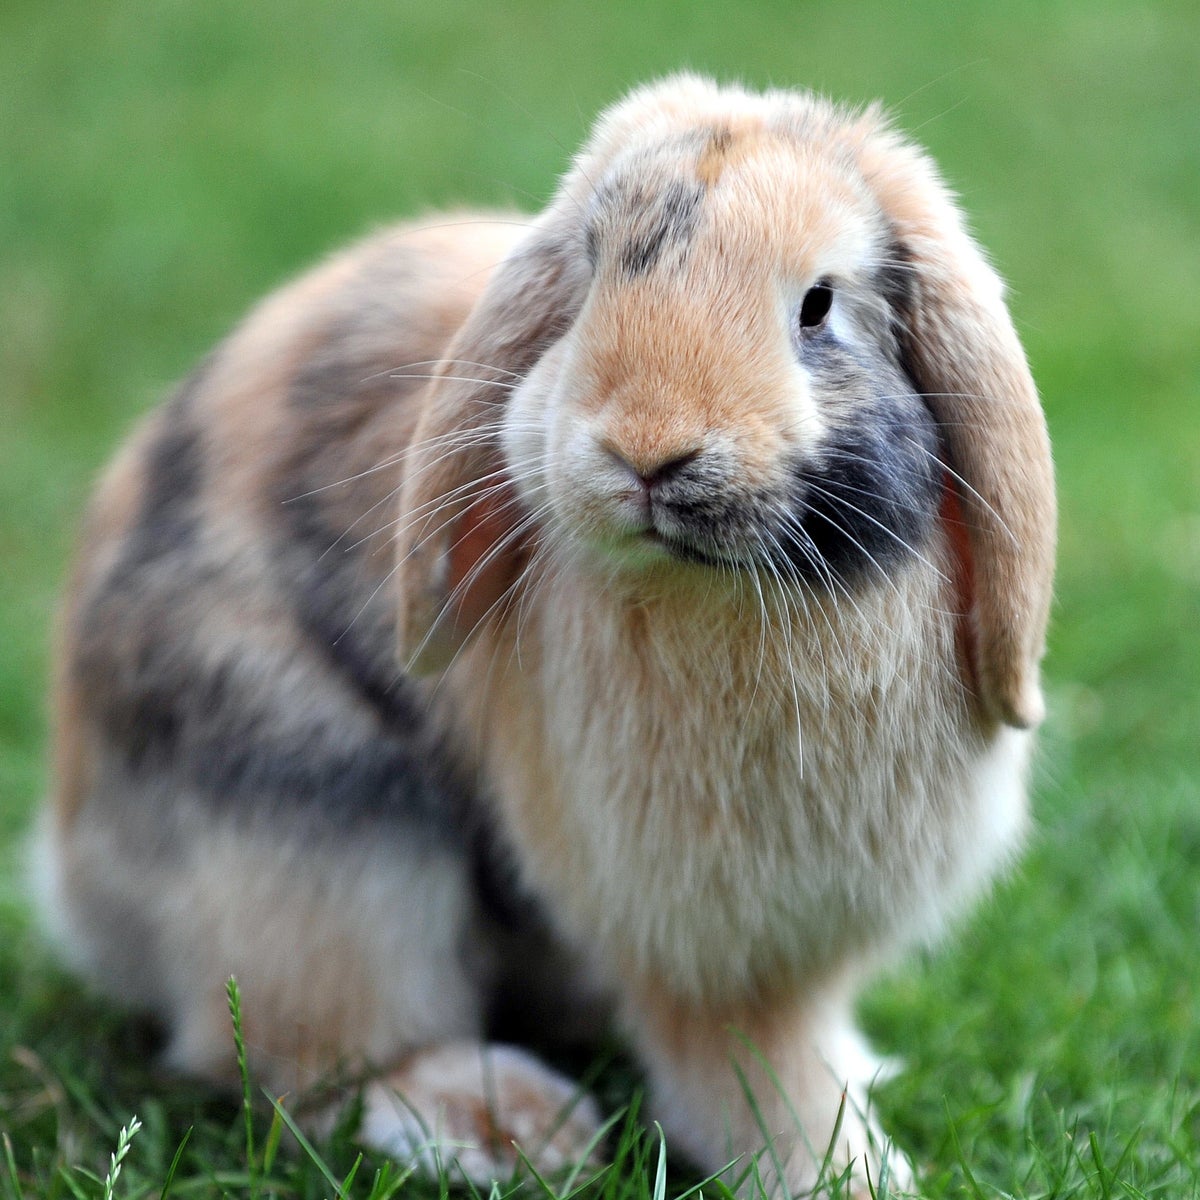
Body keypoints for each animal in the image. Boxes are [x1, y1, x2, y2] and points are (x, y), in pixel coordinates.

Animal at [37, 74, 1055, 1196]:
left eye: (819, 306)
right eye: (594, 274)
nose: (649, 449)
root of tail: (76, 878)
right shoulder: (711, 939)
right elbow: (749, 1061)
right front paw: (842, 1171)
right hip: (313, 825)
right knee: (311, 1055)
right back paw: (508, 1127)